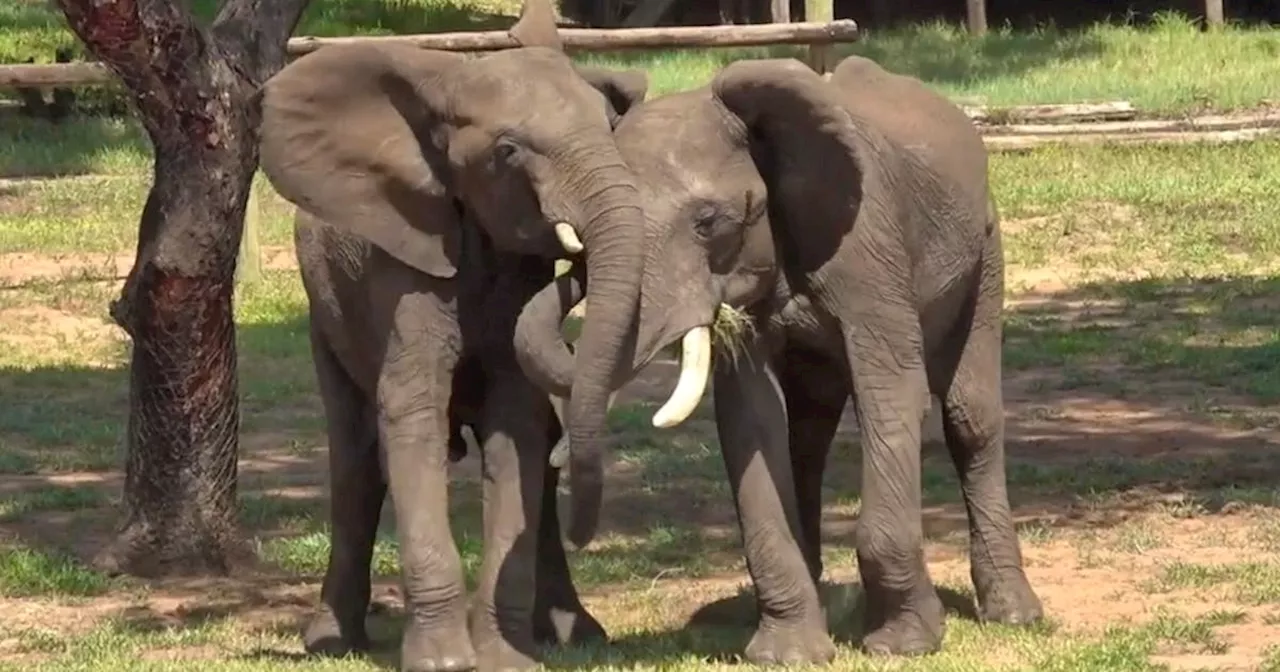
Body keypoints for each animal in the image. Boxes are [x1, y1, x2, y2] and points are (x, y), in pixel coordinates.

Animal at [252, 3, 650, 665]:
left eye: (609, 126)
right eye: (508, 150)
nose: (577, 258)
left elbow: (517, 428)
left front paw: (507, 660)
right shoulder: (401, 266)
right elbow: (411, 416)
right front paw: (442, 661)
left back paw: (577, 634)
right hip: (324, 315)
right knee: (356, 462)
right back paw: (331, 642)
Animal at [514, 53, 1044, 660]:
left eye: (709, 222)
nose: (578, 532)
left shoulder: (869, 248)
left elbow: (891, 393)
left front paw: (904, 644)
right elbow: (752, 418)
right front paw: (789, 653)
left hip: (986, 248)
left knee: (969, 417)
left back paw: (1015, 614)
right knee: (807, 438)